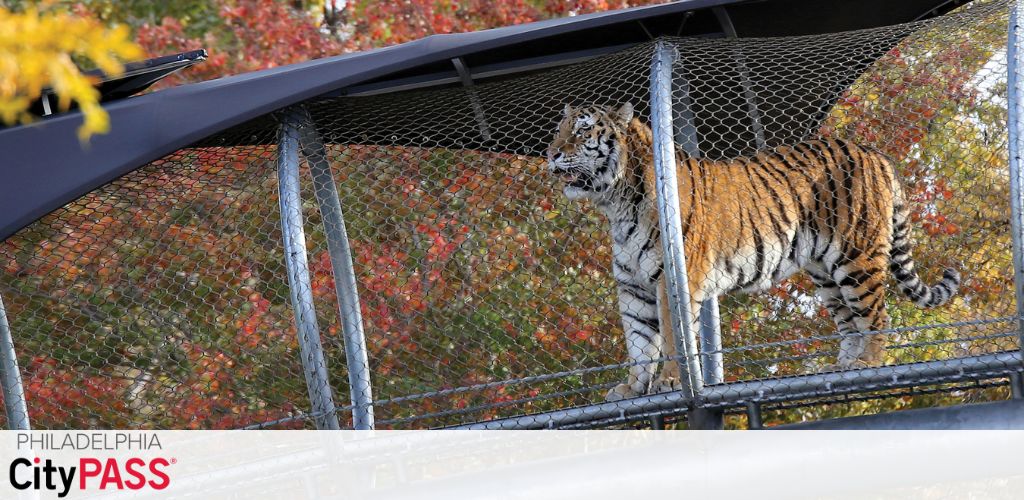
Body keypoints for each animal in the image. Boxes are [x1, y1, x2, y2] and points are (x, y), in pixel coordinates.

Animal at [548, 102, 954, 401]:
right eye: (558, 130)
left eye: (582, 130)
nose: (551, 154)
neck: (616, 203)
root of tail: (873, 152)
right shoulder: (634, 287)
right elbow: (639, 342)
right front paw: (632, 388)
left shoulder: (674, 279)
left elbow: (675, 339)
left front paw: (671, 381)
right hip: (826, 271)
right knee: (849, 323)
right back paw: (840, 367)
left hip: (858, 257)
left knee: (876, 317)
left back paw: (866, 365)